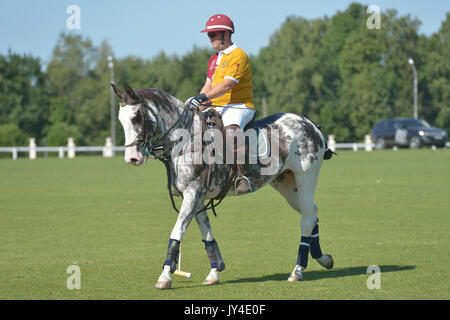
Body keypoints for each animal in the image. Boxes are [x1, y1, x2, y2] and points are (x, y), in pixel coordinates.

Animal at [110, 84, 332, 288]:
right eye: (120, 119)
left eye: (136, 117)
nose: (132, 158)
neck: (185, 139)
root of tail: (309, 123)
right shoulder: (197, 197)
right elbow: (207, 234)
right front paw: (214, 272)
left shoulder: (192, 193)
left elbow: (176, 232)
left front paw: (165, 276)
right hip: (285, 183)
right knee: (312, 213)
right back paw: (323, 259)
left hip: (306, 177)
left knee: (306, 220)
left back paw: (297, 271)